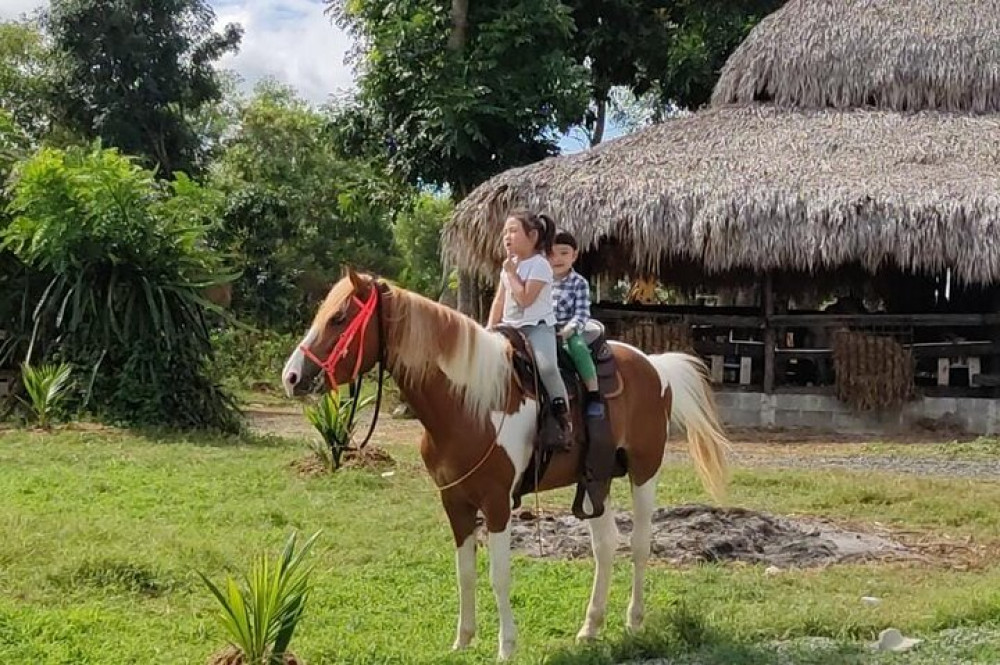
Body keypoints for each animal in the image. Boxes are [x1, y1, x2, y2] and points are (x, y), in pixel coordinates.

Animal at [282, 268, 736, 660]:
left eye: (339, 318)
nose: (291, 376)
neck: (469, 404)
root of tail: (654, 366)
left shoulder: (498, 502)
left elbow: (498, 574)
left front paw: (506, 646)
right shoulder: (454, 501)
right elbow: (464, 571)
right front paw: (463, 640)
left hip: (644, 472)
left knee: (640, 545)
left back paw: (635, 620)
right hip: (597, 479)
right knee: (606, 545)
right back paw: (591, 627)